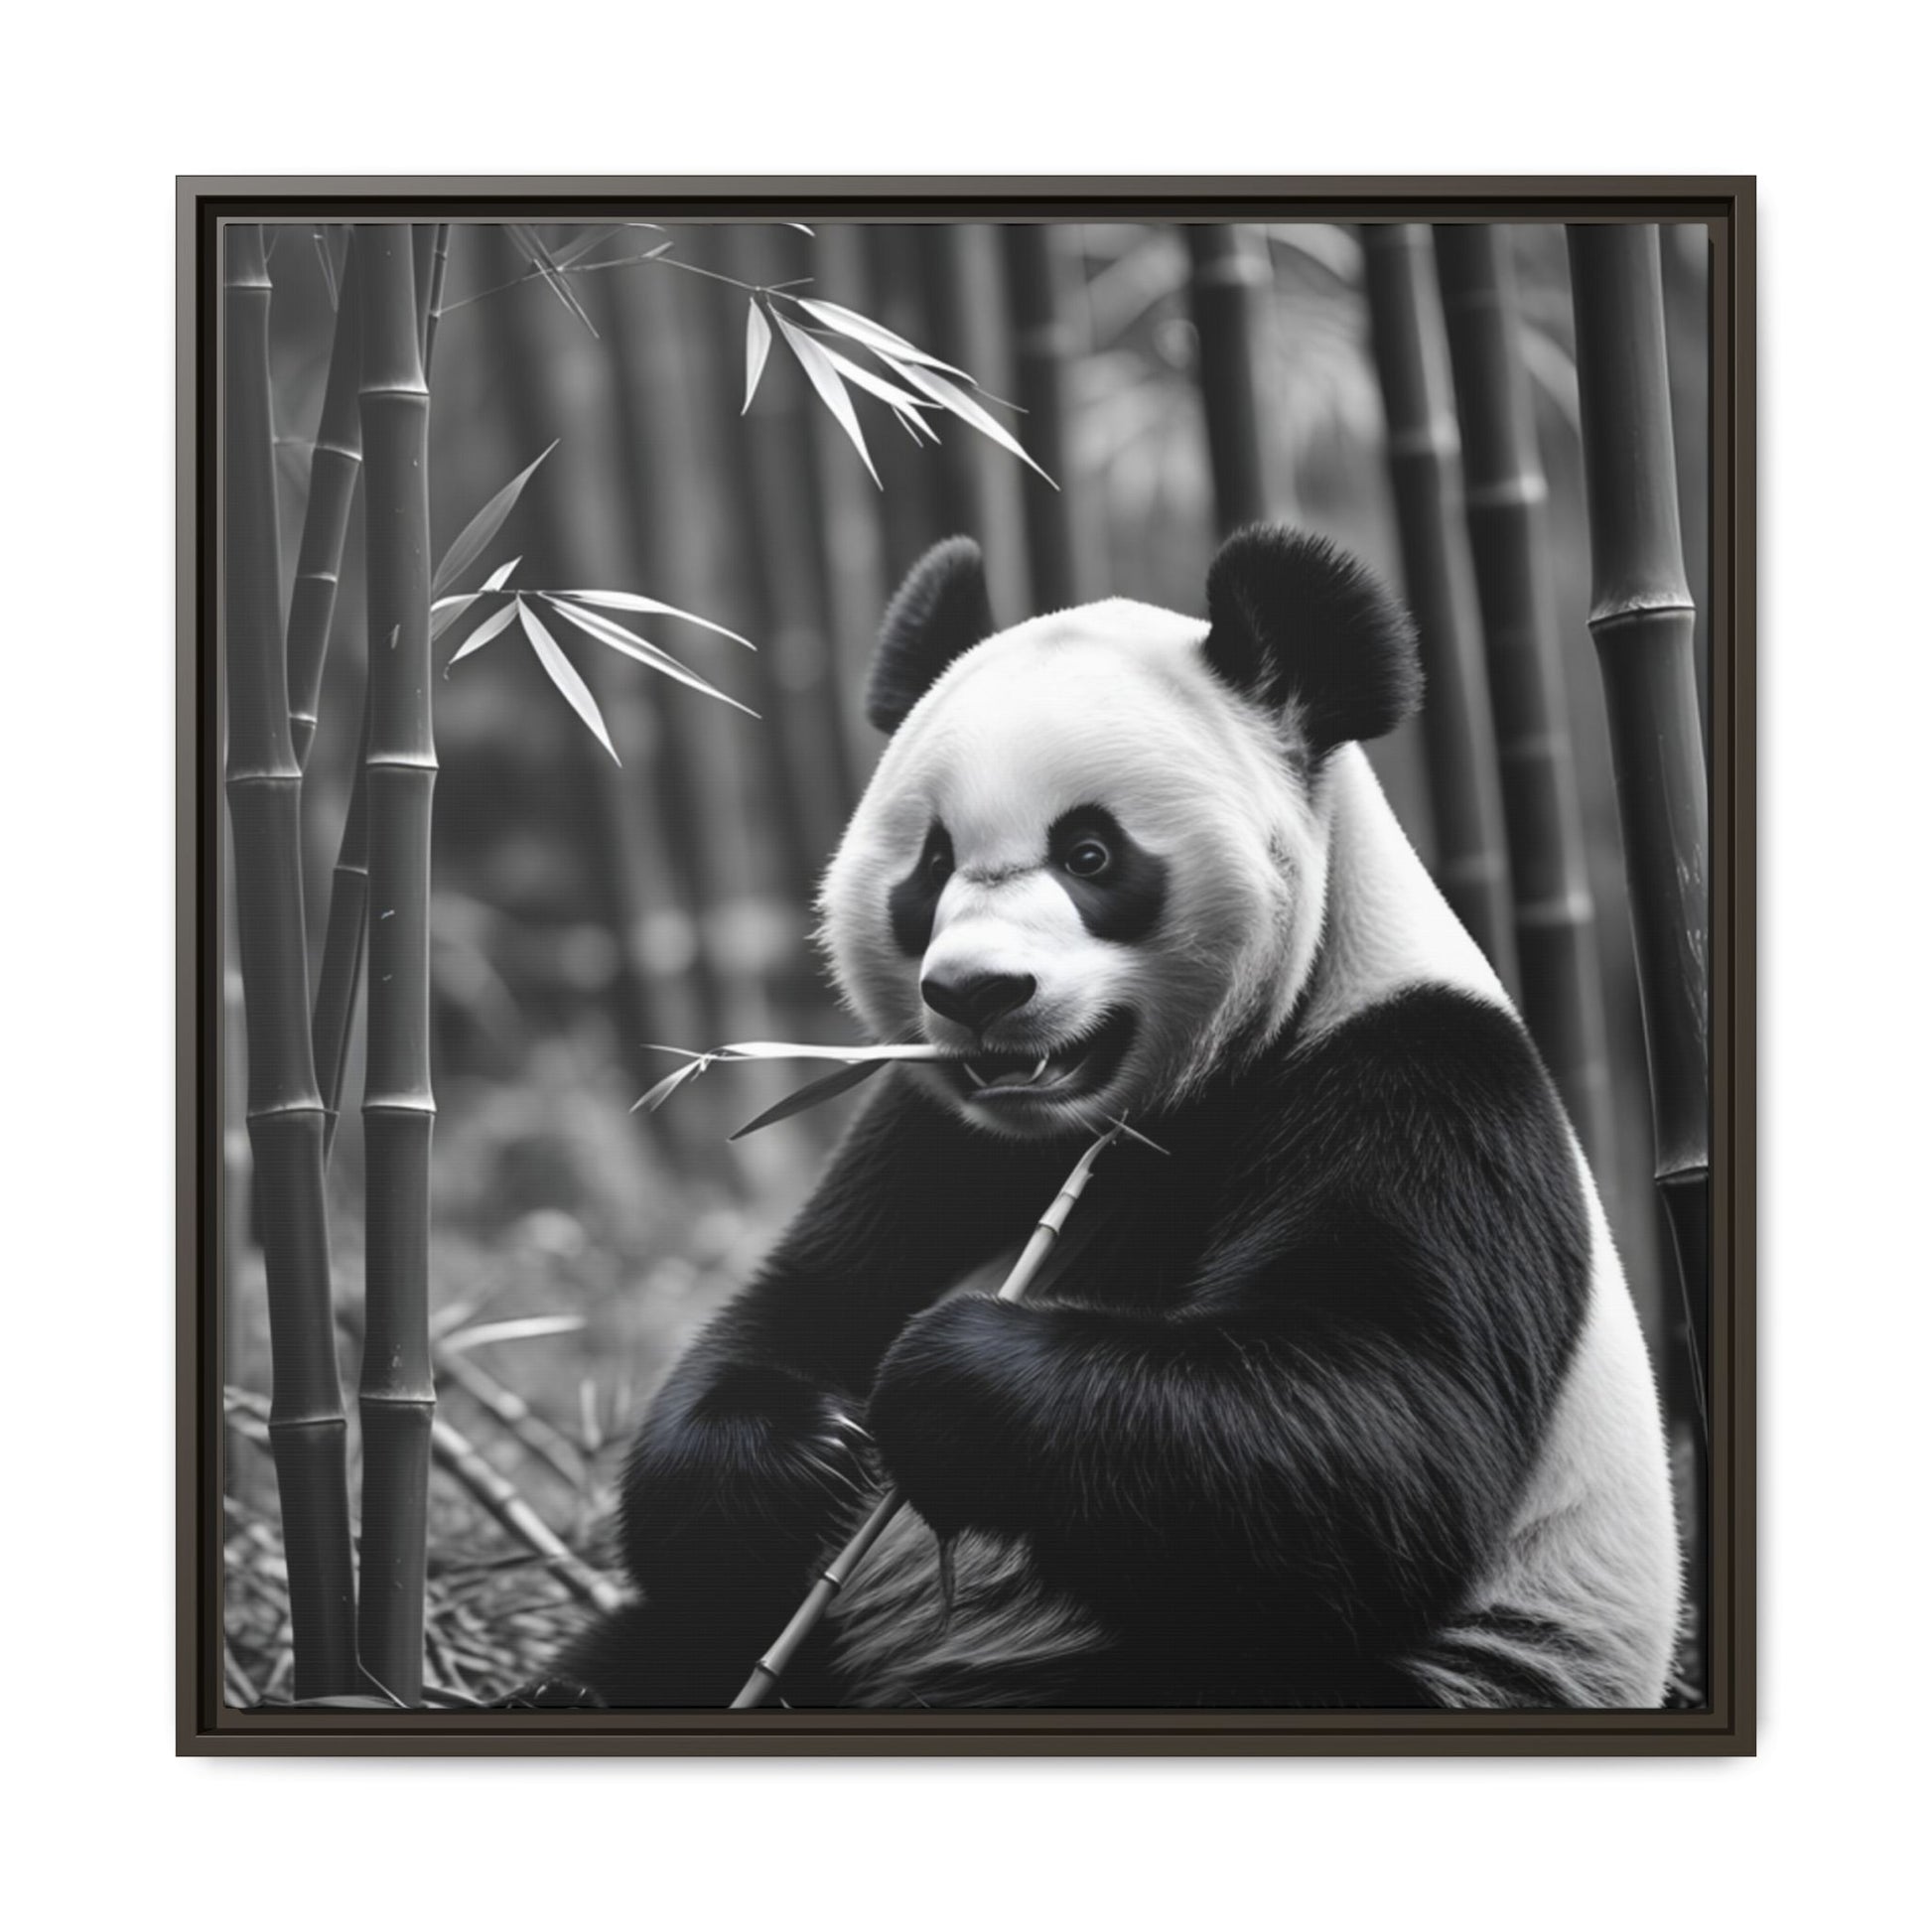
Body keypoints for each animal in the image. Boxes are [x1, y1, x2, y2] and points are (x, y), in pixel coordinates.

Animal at [539, 524, 1683, 1710]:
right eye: (933, 865)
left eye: (1089, 854)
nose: (978, 992)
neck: (1124, 1120)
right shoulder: (932, 1130)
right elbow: (791, 1316)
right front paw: (805, 1455)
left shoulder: (1421, 1082)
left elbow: (1377, 1431)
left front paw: (946, 1378)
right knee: (668, 1641)